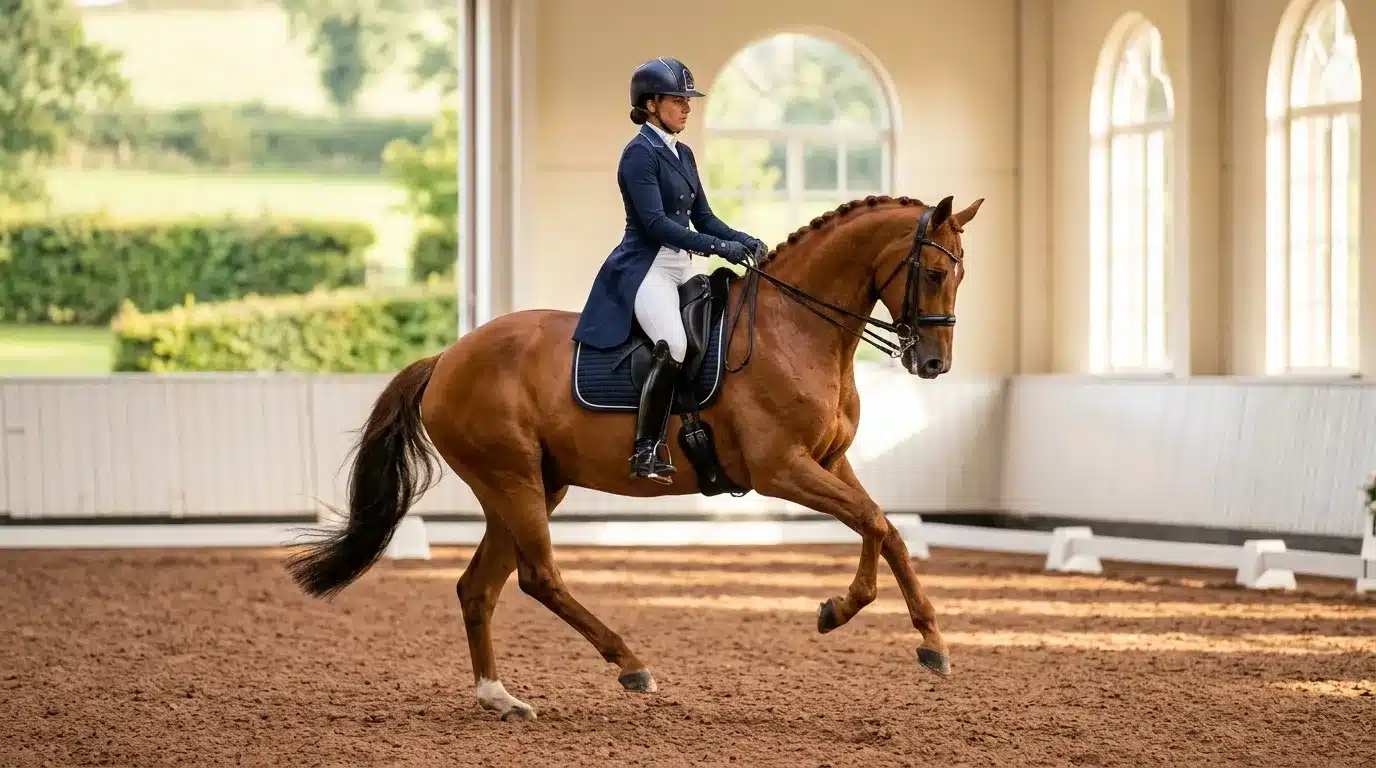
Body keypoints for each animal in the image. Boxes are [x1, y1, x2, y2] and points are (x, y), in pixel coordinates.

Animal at [285, 193, 984, 721]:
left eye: (960, 274)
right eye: (932, 272)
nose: (934, 364)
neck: (796, 329)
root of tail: (446, 359)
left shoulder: (830, 462)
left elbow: (886, 527)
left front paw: (917, 636)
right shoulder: (782, 470)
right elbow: (872, 522)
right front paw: (852, 615)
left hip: (532, 485)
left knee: (478, 587)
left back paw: (499, 697)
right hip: (512, 479)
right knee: (539, 577)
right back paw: (630, 664)